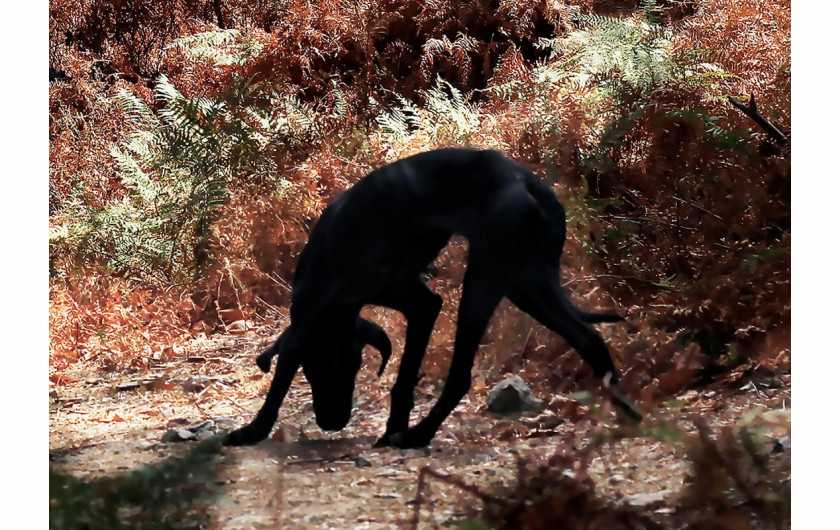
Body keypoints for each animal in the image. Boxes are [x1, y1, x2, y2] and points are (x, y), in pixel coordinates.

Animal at [226, 146, 632, 448]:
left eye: (354, 366)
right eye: (316, 372)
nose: (333, 422)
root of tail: (531, 183)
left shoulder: (412, 304)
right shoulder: (412, 305)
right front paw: (256, 428)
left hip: (500, 281)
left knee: (463, 375)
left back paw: (419, 435)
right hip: (523, 279)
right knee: (590, 339)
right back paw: (630, 416)